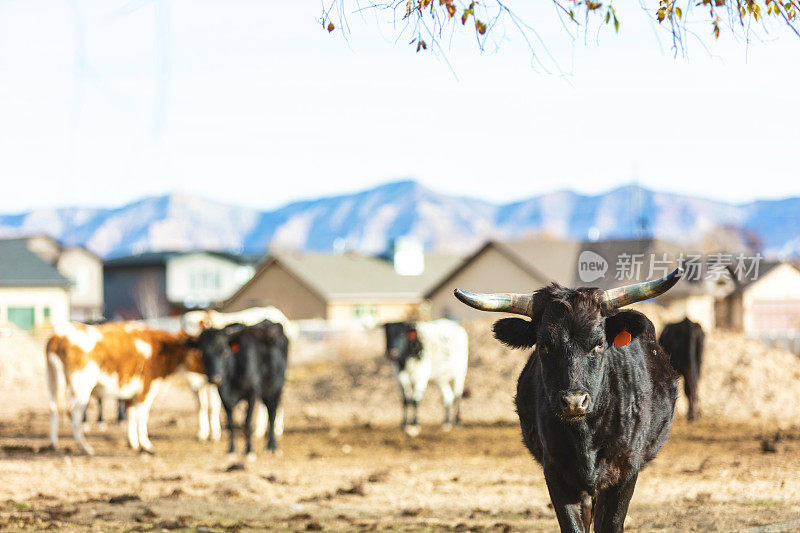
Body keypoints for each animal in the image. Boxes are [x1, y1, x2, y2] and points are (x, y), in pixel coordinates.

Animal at [47, 320, 197, 454]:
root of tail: (59, 335)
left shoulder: (131, 395)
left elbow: (131, 415)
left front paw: (133, 443)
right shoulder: (146, 390)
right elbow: (143, 416)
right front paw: (146, 445)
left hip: (53, 381)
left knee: (54, 409)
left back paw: (54, 445)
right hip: (82, 388)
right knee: (73, 412)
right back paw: (85, 447)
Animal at [456, 270, 680, 532]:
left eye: (599, 343)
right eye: (544, 345)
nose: (574, 401)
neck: (585, 436)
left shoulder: (624, 472)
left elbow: (611, 523)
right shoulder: (556, 472)